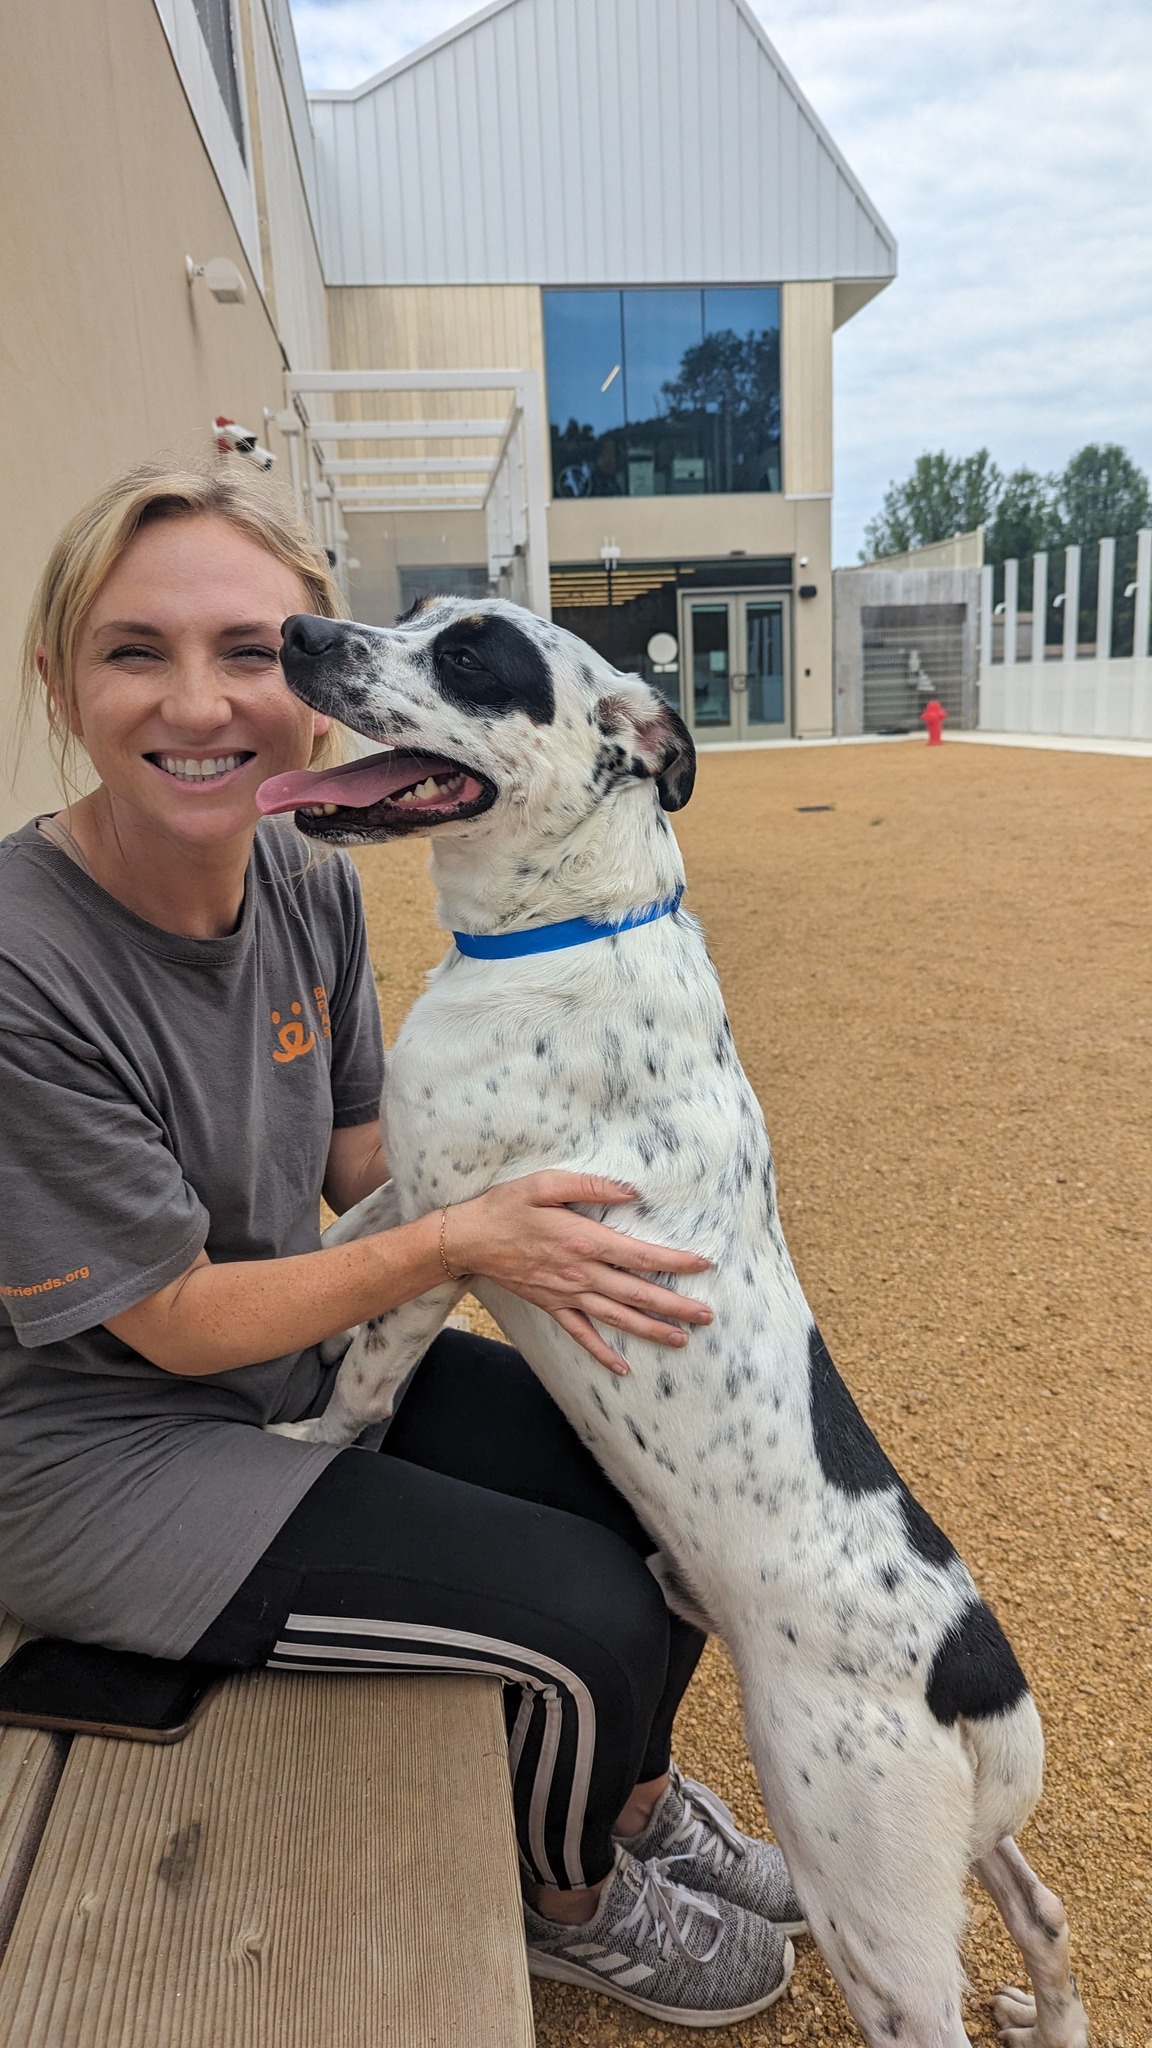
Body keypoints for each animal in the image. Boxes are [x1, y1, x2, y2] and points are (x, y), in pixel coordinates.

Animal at [258, 598, 1082, 2048]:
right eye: (415, 617)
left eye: (469, 653)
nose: (298, 627)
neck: (564, 930)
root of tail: (973, 1671)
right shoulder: (407, 1194)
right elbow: (329, 1250)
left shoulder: (454, 1231)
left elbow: (365, 1381)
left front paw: (307, 1446)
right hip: (954, 1852)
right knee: (1044, 1917)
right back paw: (1048, 2016)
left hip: (870, 1907)